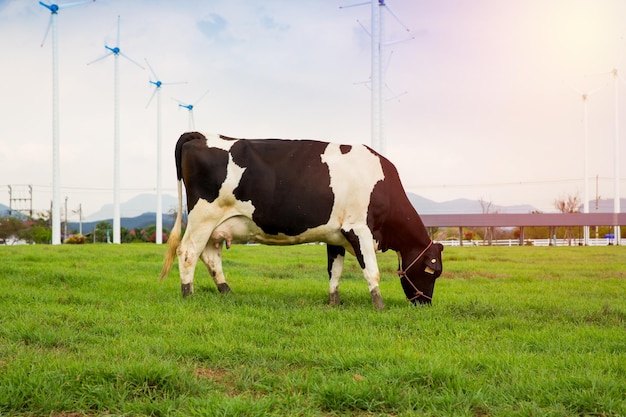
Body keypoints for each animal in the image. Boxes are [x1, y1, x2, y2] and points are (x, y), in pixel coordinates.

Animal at [161, 132, 444, 308]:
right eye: (432, 270)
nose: (424, 304)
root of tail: (201, 135)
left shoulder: (336, 235)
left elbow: (335, 270)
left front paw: (334, 302)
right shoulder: (359, 229)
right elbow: (371, 271)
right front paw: (379, 305)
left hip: (215, 226)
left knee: (210, 256)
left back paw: (227, 291)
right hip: (203, 217)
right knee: (188, 252)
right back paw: (188, 294)